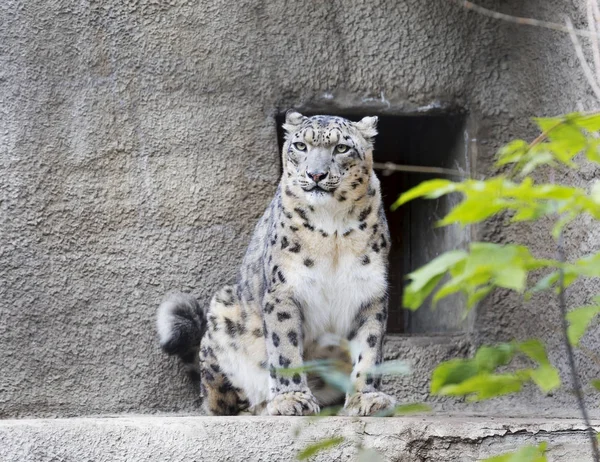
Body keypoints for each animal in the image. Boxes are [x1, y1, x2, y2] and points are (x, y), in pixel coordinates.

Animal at [157, 111, 396, 416]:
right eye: (301, 146)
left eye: (341, 148)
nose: (316, 174)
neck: (333, 227)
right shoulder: (284, 289)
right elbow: (285, 346)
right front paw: (292, 399)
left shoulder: (370, 291)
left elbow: (369, 347)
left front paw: (367, 398)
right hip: (224, 313)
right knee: (223, 403)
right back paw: (264, 405)